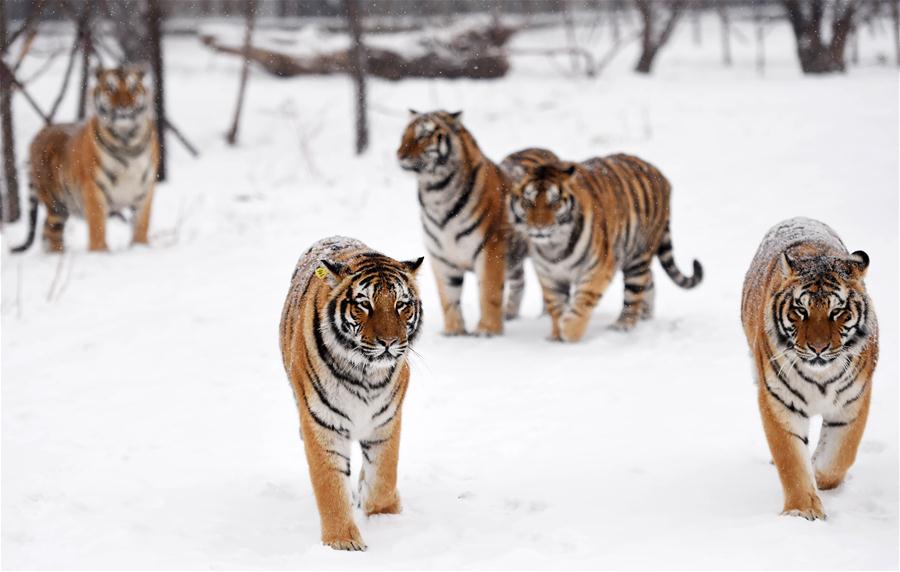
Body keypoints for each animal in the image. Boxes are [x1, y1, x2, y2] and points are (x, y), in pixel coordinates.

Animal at [11, 67, 158, 252]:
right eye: (111, 89)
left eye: (133, 89)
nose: (124, 106)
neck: (126, 141)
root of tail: (37, 136)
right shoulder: (94, 188)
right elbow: (97, 226)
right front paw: (100, 252)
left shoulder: (145, 190)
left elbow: (141, 224)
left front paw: (140, 248)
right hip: (56, 204)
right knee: (52, 233)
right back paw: (58, 254)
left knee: (46, 232)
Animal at [280, 236, 424, 548]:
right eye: (364, 304)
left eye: (401, 305)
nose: (389, 342)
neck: (365, 373)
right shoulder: (322, 423)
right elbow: (330, 485)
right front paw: (342, 541)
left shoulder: (386, 421)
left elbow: (383, 475)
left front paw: (384, 515)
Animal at [398, 108, 524, 336]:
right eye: (404, 135)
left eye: (423, 135)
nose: (399, 155)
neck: (436, 191)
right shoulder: (441, 256)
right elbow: (448, 297)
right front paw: (454, 331)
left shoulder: (490, 248)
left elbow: (490, 291)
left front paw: (487, 330)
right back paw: (511, 313)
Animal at [506, 152, 704, 342]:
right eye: (528, 202)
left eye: (554, 203)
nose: (539, 227)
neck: (554, 246)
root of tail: (659, 174)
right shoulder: (549, 275)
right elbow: (556, 306)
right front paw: (556, 333)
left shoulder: (598, 267)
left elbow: (583, 301)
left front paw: (569, 332)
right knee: (650, 280)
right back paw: (646, 316)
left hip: (638, 256)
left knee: (635, 292)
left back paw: (624, 325)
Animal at [740, 217, 880, 520]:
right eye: (800, 311)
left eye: (837, 312)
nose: (818, 348)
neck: (821, 377)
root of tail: (799, 218)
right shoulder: (779, 402)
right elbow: (791, 461)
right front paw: (802, 510)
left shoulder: (852, 403)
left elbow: (838, 457)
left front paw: (818, 474)